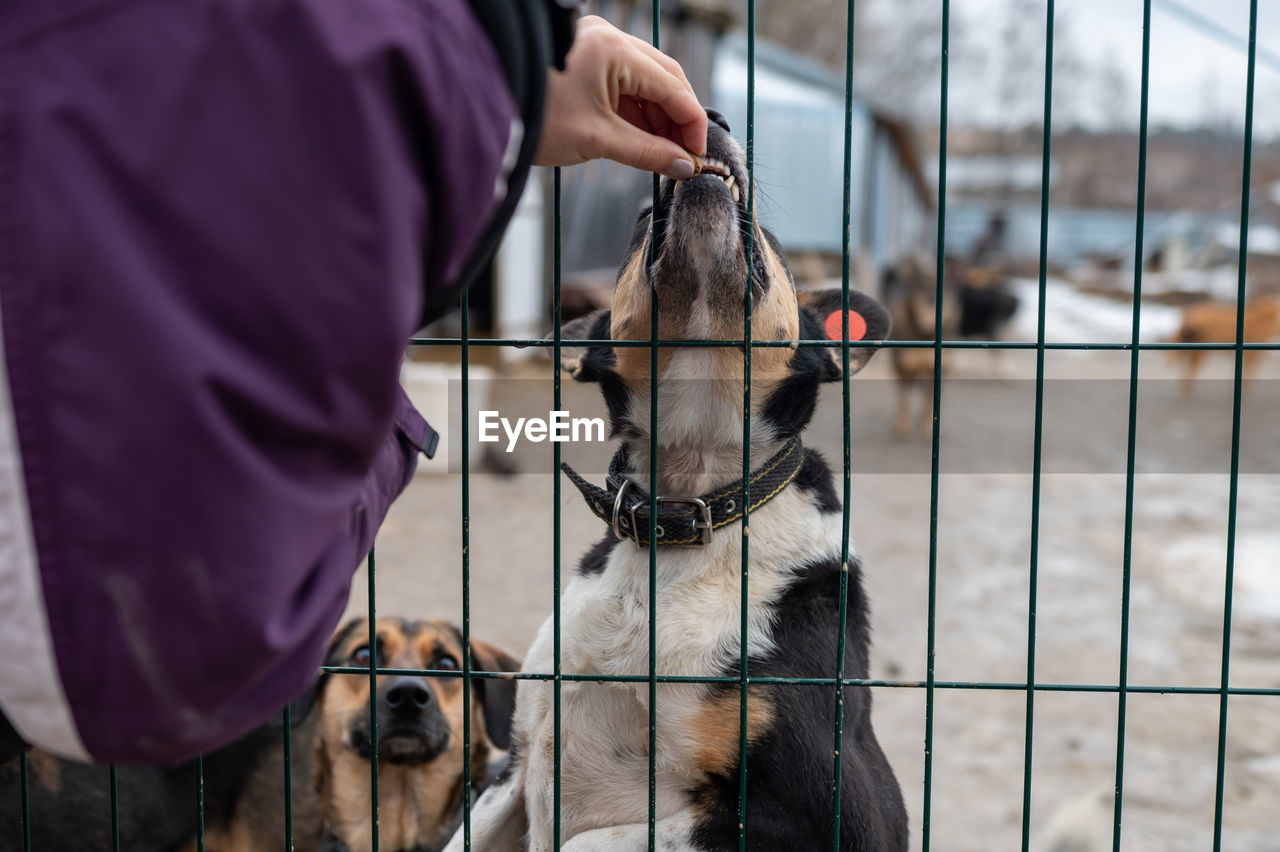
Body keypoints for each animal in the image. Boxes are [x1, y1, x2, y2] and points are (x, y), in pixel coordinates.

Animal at [450, 109, 911, 849]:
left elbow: (582, 841)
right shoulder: (513, 768)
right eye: (643, 219)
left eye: (772, 239)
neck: (681, 516)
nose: (713, 117)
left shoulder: (822, 816)